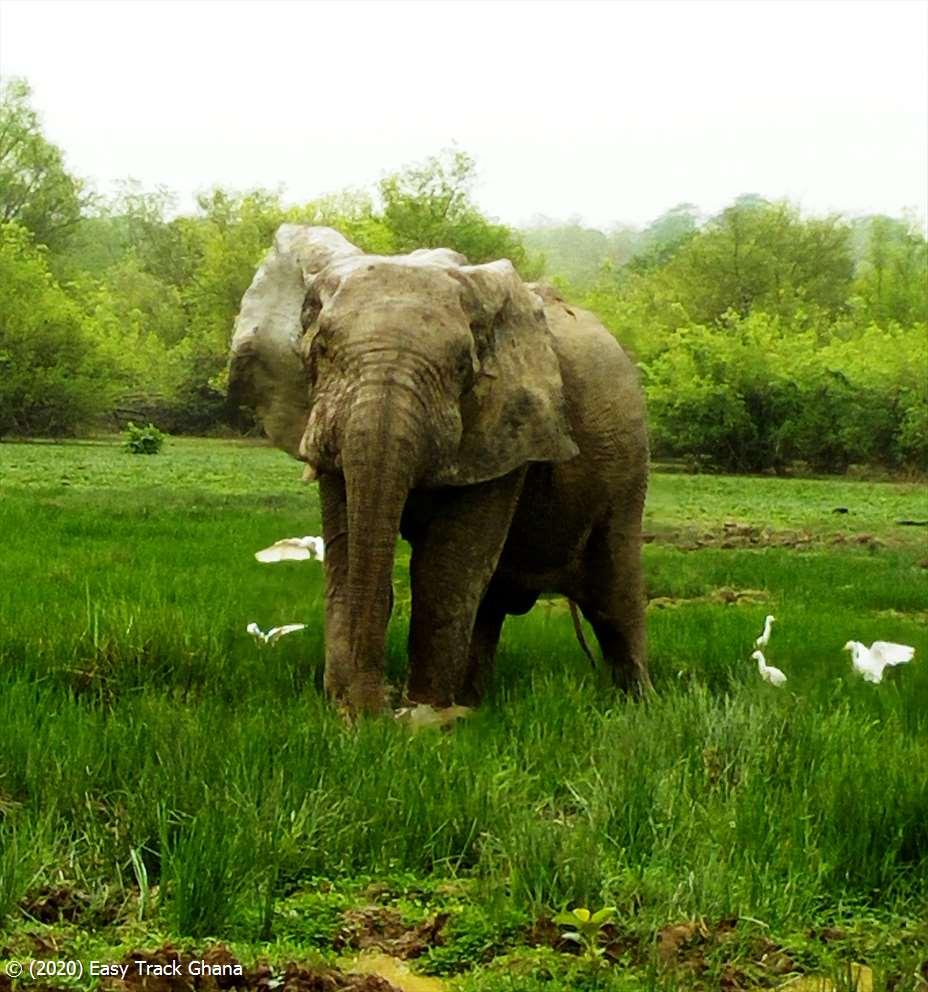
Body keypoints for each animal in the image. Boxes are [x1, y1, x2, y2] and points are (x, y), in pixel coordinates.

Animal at [230, 225, 650, 714]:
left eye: (462, 367)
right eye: (319, 351)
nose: (378, 709)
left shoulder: (506, 429)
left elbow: (445, 566)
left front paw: (422, 715)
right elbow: (346, 555)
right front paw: (350, 711)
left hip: (627, 471)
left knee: (615, 595)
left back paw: (639, 705)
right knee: (490, 605)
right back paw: (472, 704)